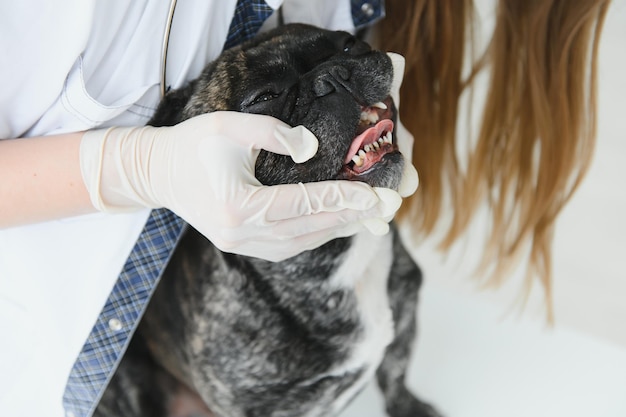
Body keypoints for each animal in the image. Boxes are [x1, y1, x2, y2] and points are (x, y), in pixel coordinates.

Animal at [95, 24, 442, 416]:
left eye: (349, 45)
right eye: (264, 98)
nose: (333, 75)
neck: (340, 254)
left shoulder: (404, 321)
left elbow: (396, 372)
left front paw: (410, 407)